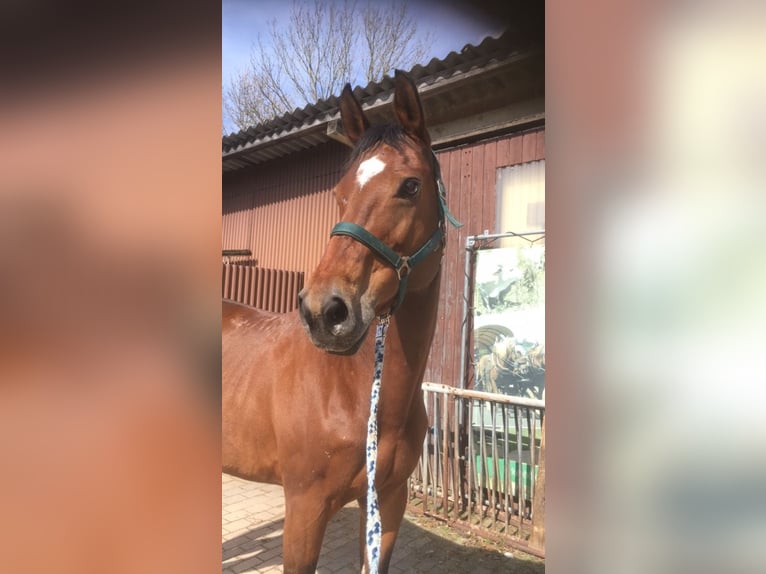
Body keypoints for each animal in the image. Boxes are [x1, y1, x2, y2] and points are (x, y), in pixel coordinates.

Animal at [222, 72, 456, 574]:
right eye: (339, 192)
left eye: (411, 186)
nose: (324, 311)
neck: (354, 391)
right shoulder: (305, 511)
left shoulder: (388, 505)